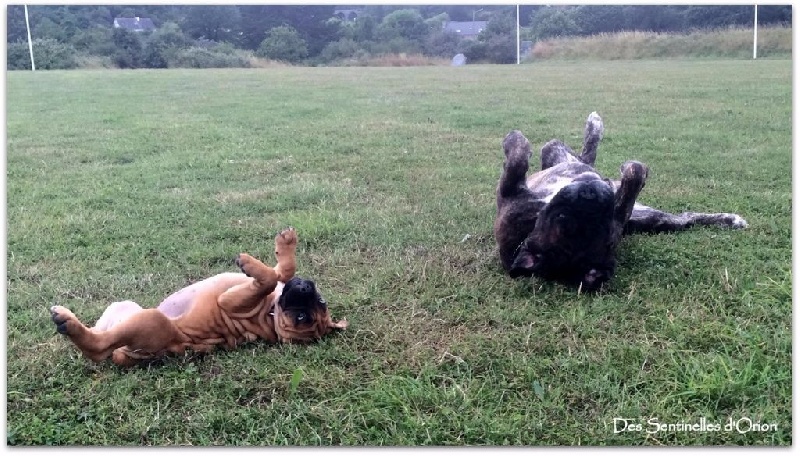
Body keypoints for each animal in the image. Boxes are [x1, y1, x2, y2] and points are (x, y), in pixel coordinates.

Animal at [49, 228, 346, 366]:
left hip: (149, 321)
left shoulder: (231, 301)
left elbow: (269, 278)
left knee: (98, 348)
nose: (306, 290)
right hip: (122, 308)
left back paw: (68, 322)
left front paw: (251, 263)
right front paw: (286, 246)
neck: (271, 313)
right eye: (320, 303)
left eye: (301, 317)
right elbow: (282, 271)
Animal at [494, 114, 752, 292]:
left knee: (685, 218)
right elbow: (518, 157)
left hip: (647, 215)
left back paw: (730, 220)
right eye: (561, 217)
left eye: (601, 221)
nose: (591, 193)